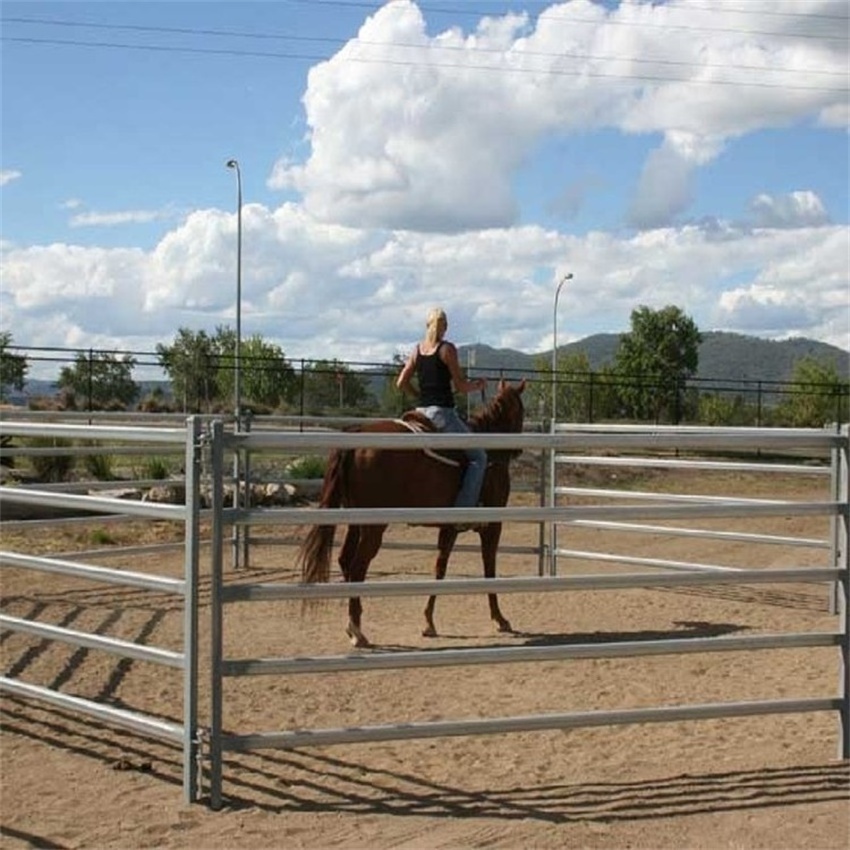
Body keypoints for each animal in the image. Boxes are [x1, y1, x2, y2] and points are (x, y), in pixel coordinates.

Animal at [296, 378, 524, 644]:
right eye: (520, 409)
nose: (518, 450)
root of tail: (356, 436)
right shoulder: (492, 526)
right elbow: (489, 568)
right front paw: (500, 619)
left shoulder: (449, 528)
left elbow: (440, 568)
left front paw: (428, 622)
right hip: (374, 526)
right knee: (357, 566)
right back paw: (357, 630)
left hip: (356, 520)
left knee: (345, 559)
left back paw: (354, 623)